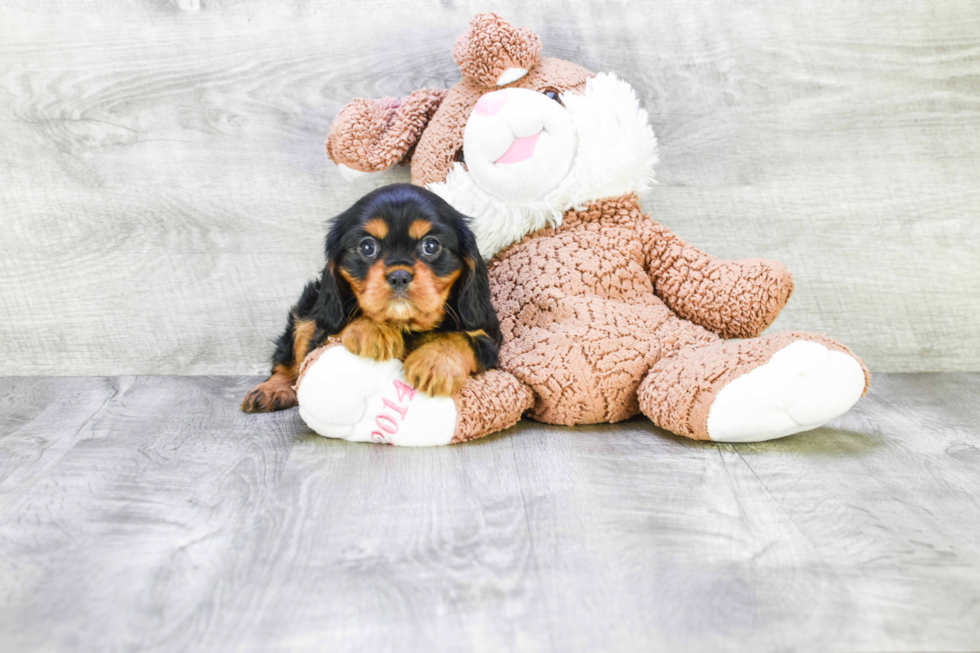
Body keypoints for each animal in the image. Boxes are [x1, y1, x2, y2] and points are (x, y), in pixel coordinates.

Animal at [242, 181, 502, 410]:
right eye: (367, 247)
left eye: (431, 245)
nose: (399, 276)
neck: (405, 325)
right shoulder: (321, 333)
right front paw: (373, 329)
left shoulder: (489, 341)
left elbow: (463, 339)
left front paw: (435, 362)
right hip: (308, 304)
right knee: (288, 355)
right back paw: (271, 390)